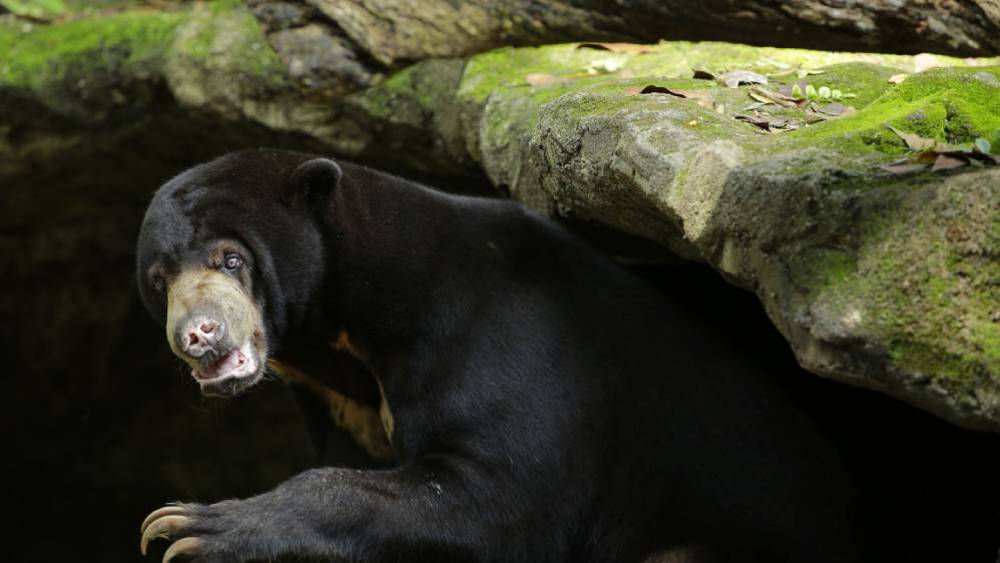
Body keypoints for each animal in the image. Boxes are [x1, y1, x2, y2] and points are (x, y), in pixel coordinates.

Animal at [135, 149, 862, 563]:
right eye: (159, 280)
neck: (347, 336)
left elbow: (500, 494)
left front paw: (186, 527)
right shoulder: (338, 399)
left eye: (231, 257)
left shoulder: (507, 338)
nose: (198, 334)